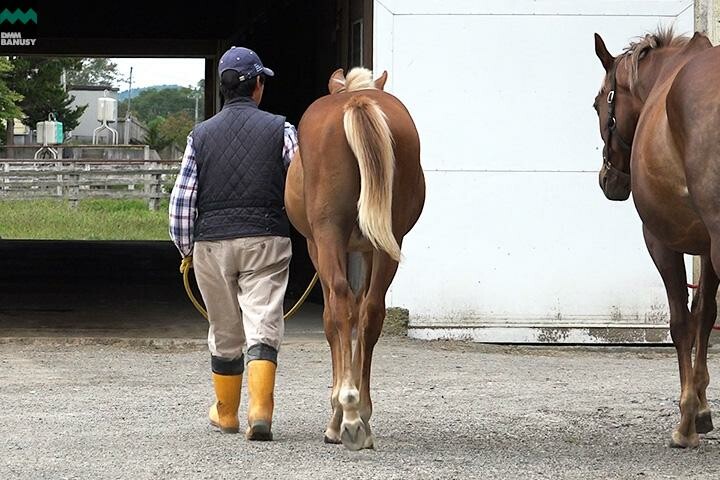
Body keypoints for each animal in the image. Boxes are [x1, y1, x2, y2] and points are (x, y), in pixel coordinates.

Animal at [284, 67, 425, 450]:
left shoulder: (317, 245)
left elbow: (332, 320)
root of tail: (357, 100)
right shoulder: (367, 249)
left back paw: (346, 413)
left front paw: (336, 415)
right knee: (371, 311)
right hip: (389, 242)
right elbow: (363, 313)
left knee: (341, 305)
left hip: (328, 236)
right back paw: (360, 413)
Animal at [593, 27, 720, 448]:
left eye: (597, 104)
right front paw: (702, 409)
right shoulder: (705, 247)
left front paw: (686, 421)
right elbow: (704, 314)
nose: (608, 181)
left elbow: (681, 322)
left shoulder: (662, 241)